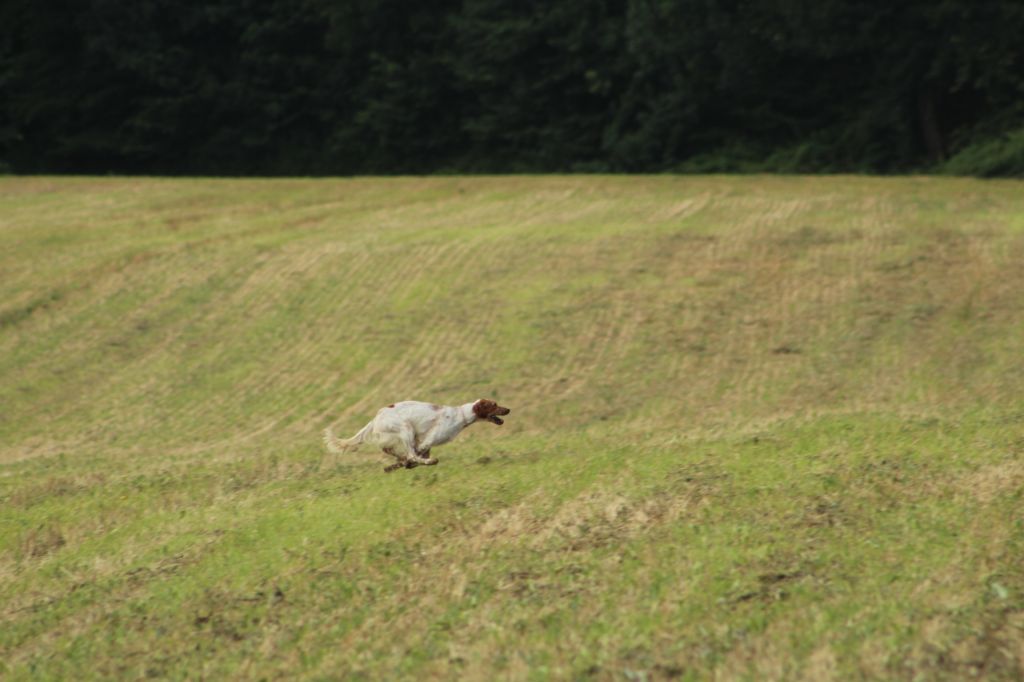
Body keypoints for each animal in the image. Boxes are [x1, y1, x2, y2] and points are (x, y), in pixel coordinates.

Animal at [321, 395, 509, 471]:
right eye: (494, 404)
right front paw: (407, 464)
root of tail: (376, 417)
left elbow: (412, 458)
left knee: (389, 450)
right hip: (406, 428)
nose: (508, 409)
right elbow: (415, 457)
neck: (461, 415)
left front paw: (397, 465)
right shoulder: (428, 440)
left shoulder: (424, 444)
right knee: (410, 454)